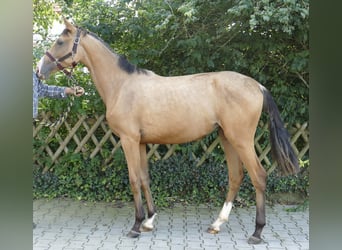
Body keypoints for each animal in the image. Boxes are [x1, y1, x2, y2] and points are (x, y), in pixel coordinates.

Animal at [36, 19, 300, 244]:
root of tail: (257, 85)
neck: (122, 85)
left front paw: (136, 225)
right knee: (236, 176)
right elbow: (144, 178)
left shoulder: (129, 140)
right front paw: (149, 221)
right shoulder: (140, 143)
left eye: (60, 42)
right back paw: (217, 224)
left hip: (242, 139)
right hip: (227, 138)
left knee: (259, 176)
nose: (40, 70)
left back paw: (257, 232)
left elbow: (133, 179)